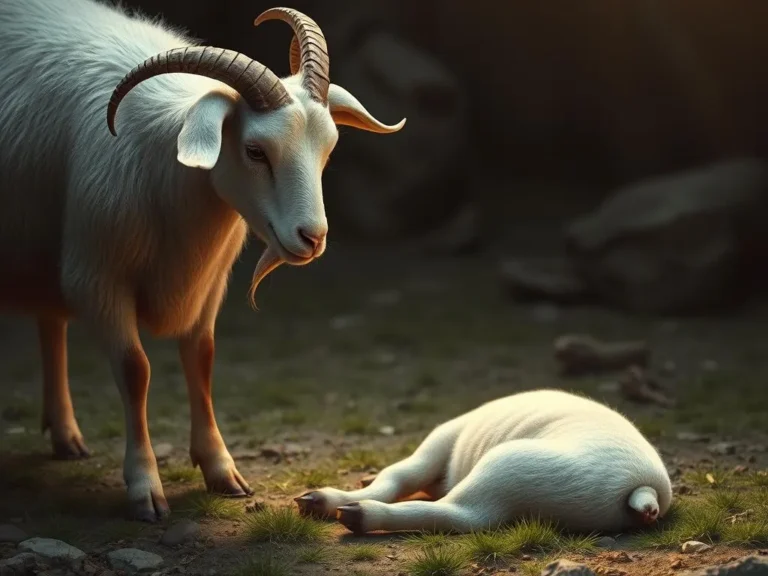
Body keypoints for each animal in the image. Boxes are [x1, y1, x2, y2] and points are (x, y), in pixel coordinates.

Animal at [0, 0, 404, 521]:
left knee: (50, 322)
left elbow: (203, 358)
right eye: (254, 151)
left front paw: (220, 469)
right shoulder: (97, 278)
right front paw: (145, 487)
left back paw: (65, 434)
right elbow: (134, 370)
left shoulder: (210, 281)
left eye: (328, 148)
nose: (312, 238)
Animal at [297, 389, 673, 534]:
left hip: (510, 466)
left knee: (461, 514)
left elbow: (400, 475)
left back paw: (351, 514)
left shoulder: (439, 441)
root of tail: (644, 490)